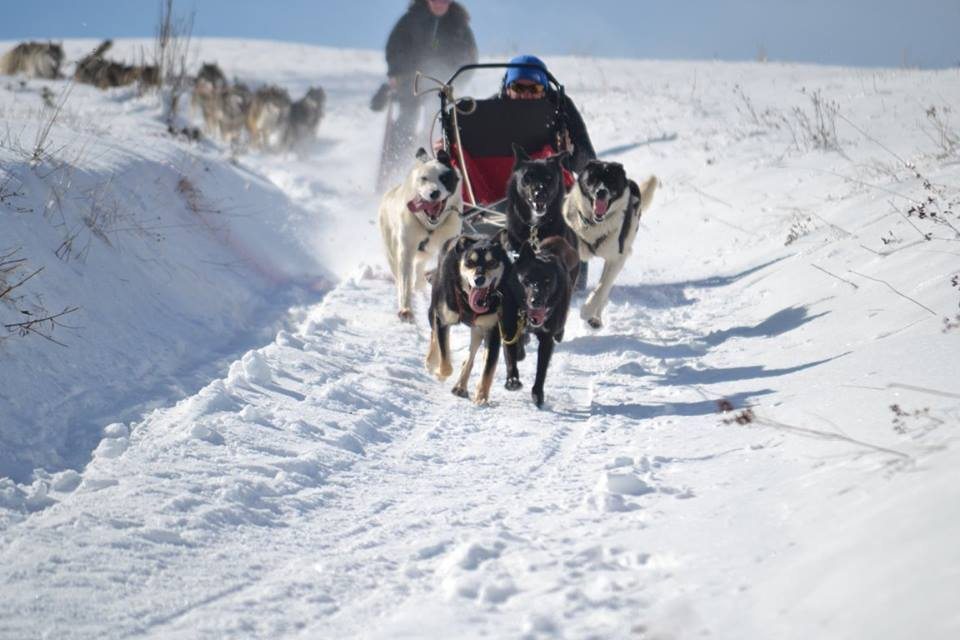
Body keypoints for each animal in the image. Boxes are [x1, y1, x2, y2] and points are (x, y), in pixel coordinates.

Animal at [376, 148, 464, 322]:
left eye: (444, 178)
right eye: (424, 178)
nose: (434, 193)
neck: (430, 226)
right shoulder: (406, 250)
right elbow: (405, 282)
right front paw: (405, 309)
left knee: (419, 271)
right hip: (391, 251)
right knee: (402, 275)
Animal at [426, 232, 512, 404]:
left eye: (492, 262)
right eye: (470, 262)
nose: (479, 279)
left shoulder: (492, 331)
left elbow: (487, 369)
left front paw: (481, 397)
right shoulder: (442, 320)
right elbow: (444, 358)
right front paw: (439, 372)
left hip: (478, 331)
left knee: (470, 358)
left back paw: (461, 386)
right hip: (433, 311)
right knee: (433, 336)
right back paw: (431, 361)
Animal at [498, 236, 580, 410]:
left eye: (547, 281)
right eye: (527, 279)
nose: (536, 301)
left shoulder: (546, 339)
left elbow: (541, 370)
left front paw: (538, 394)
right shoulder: (508, 329)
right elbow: (510, 358)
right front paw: (512, 381)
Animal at [560, 160, 656, 330]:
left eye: (611, 180)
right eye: (593, 178)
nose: (601, 192)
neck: (593, 225)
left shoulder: (616, 258)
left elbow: (601, 289)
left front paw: (587, 310)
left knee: (605, 290)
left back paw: (595, 318)